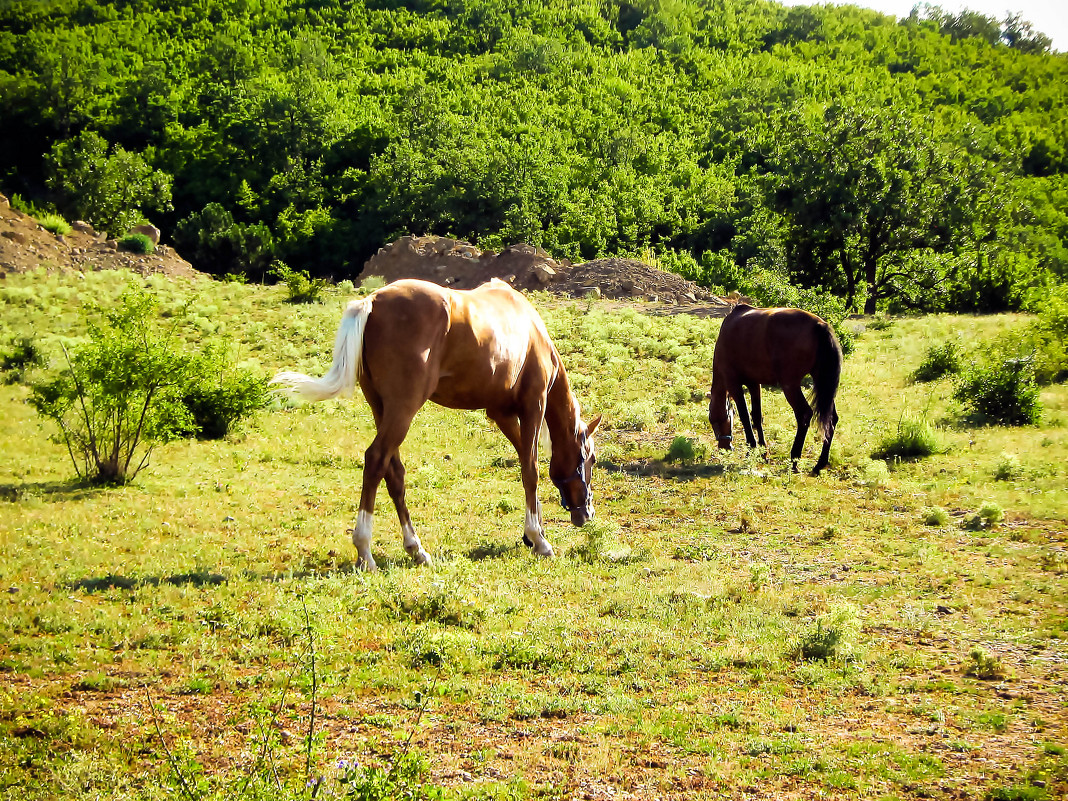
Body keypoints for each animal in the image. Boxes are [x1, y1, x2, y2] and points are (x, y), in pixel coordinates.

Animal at [271, 279, 602, 568]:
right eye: (591, 459)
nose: (586, 512)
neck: (532, 331)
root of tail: (372, 302)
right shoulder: (533, 405)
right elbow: (531, 469)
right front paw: (539, 539)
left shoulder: (500, 413)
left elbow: (524, 460)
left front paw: (534, 533)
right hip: (403, 410)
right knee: (376, 460)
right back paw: (365, 551)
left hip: (383, 410)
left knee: (393, 472)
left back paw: (416, 549)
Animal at [709, 303, 841, 474]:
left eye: (714, 422)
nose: (724, 447)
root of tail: (820, 325)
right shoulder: (754, 384)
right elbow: (756, 416)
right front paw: (763, 451)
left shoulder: (734, 384)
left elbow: (745, 417)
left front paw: (751, 449)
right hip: (822, 383)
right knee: (831, 420)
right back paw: (820, 464)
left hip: (790, 385)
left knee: (804, 414)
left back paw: (794, 459)